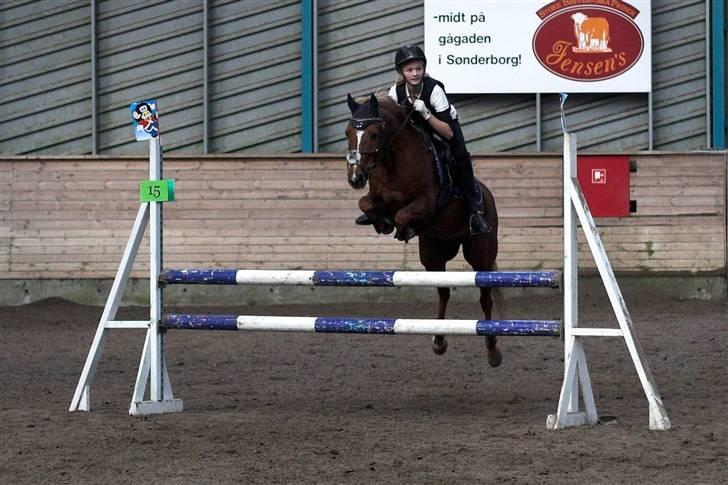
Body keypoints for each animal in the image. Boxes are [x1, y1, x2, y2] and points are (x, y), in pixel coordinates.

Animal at [345, 93, 502, 367]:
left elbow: (401, 215)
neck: (394, 161)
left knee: (485, 295)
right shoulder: (377, 196)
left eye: (373, 134)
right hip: (434, 253)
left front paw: (401, 230)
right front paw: (380, 223)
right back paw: (439, 341)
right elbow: (366, 203)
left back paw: (493, 350)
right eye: (348, 133)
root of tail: (487, 194)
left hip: (480, 253)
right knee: (443, 291)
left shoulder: (428, 202)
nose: (355, 178)